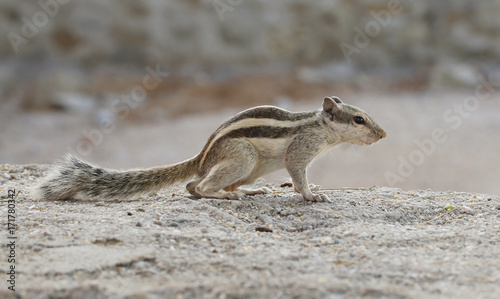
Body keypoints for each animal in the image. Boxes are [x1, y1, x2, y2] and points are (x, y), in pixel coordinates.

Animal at [36, 97, 386, 203]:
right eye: (359, 119)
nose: (383, 134)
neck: (322, 129)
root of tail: (202, 157)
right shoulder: (300, 151)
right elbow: (298, 174)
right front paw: (312, 195)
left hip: (249, 169)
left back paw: (249, 192)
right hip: (242, 157)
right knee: (195, 186)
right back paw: (222, 195)